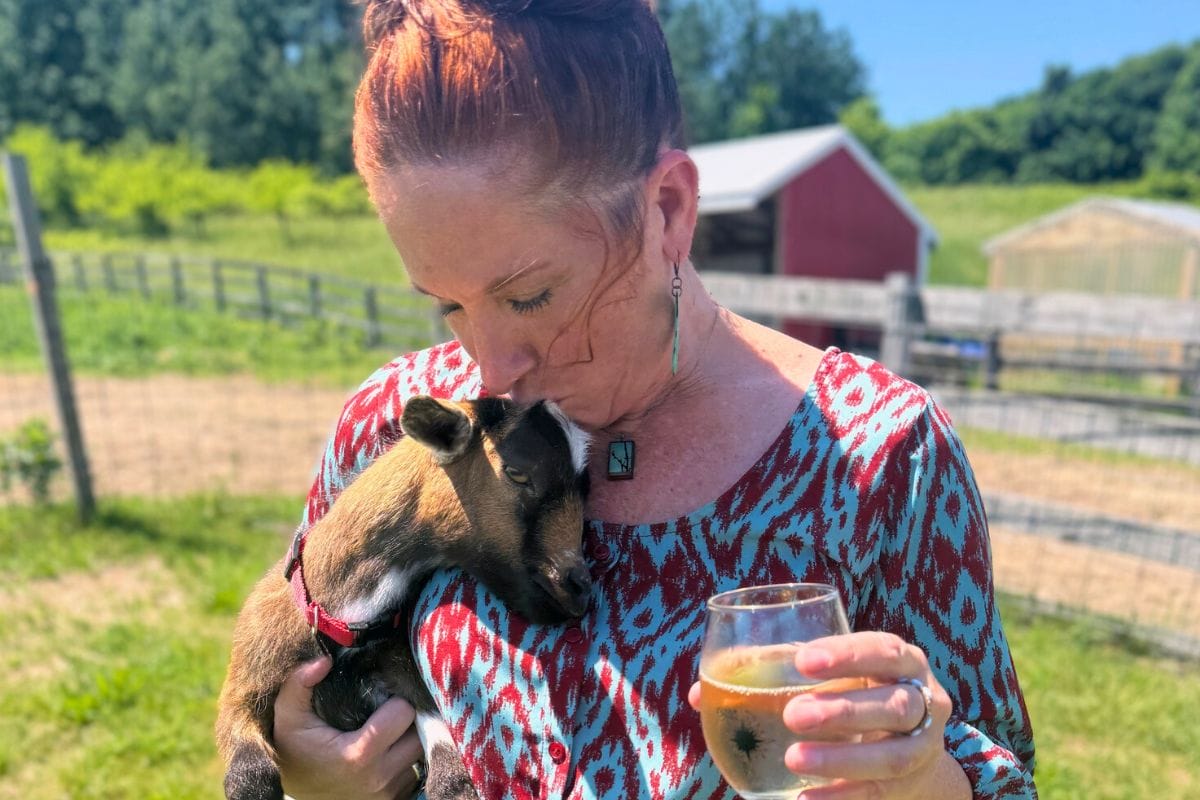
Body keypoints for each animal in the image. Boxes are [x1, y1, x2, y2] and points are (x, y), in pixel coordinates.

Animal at [216, 396, 592, 800]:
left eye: (586, 489)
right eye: (517, 472)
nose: (580, 587)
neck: (344, 621)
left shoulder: (401, 673)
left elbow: (450, 778)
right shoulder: (246, 683)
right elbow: (248, 774)